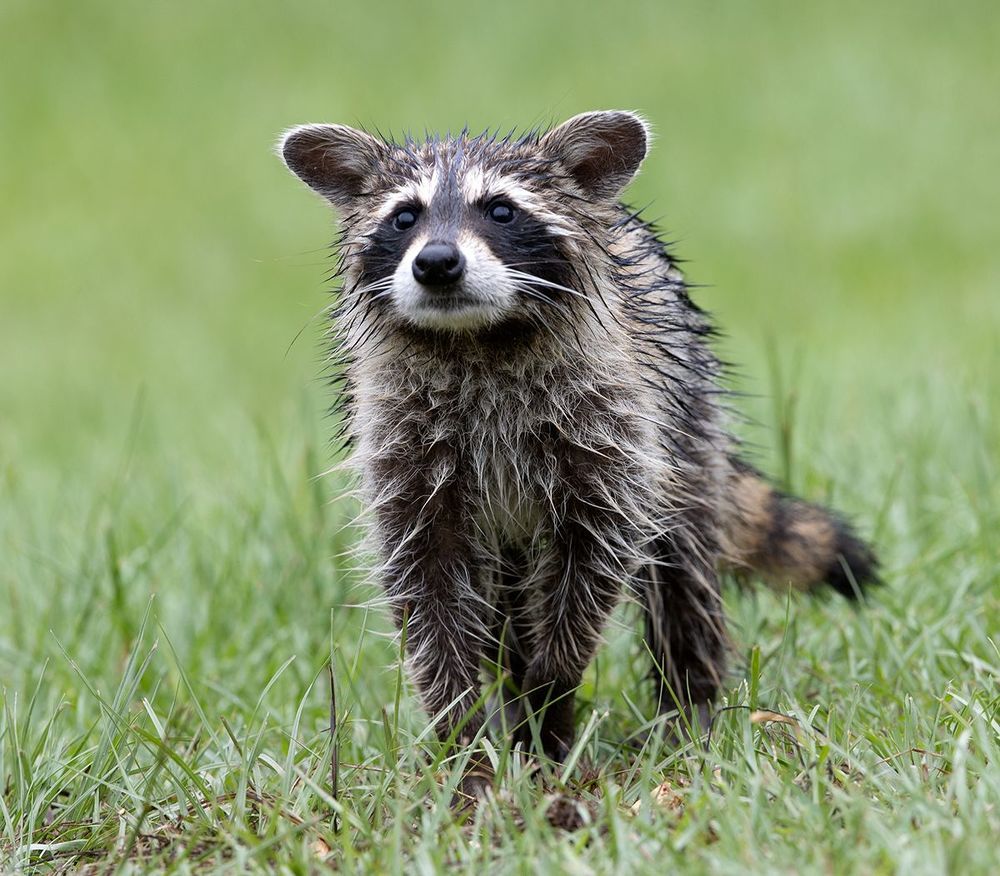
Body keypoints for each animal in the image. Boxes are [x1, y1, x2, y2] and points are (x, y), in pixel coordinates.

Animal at [279, 110, 878, 796]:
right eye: (405, 216)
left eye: (501, 210)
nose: (435, 262)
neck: (476, 339)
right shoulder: (406, 451)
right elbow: (426, 591)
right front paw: (464, 743)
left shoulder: (611, 429)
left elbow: (592, 566)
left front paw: (551, 701)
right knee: (503, 615)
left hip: (688, 426)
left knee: (682, 573)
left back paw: (688, 708)